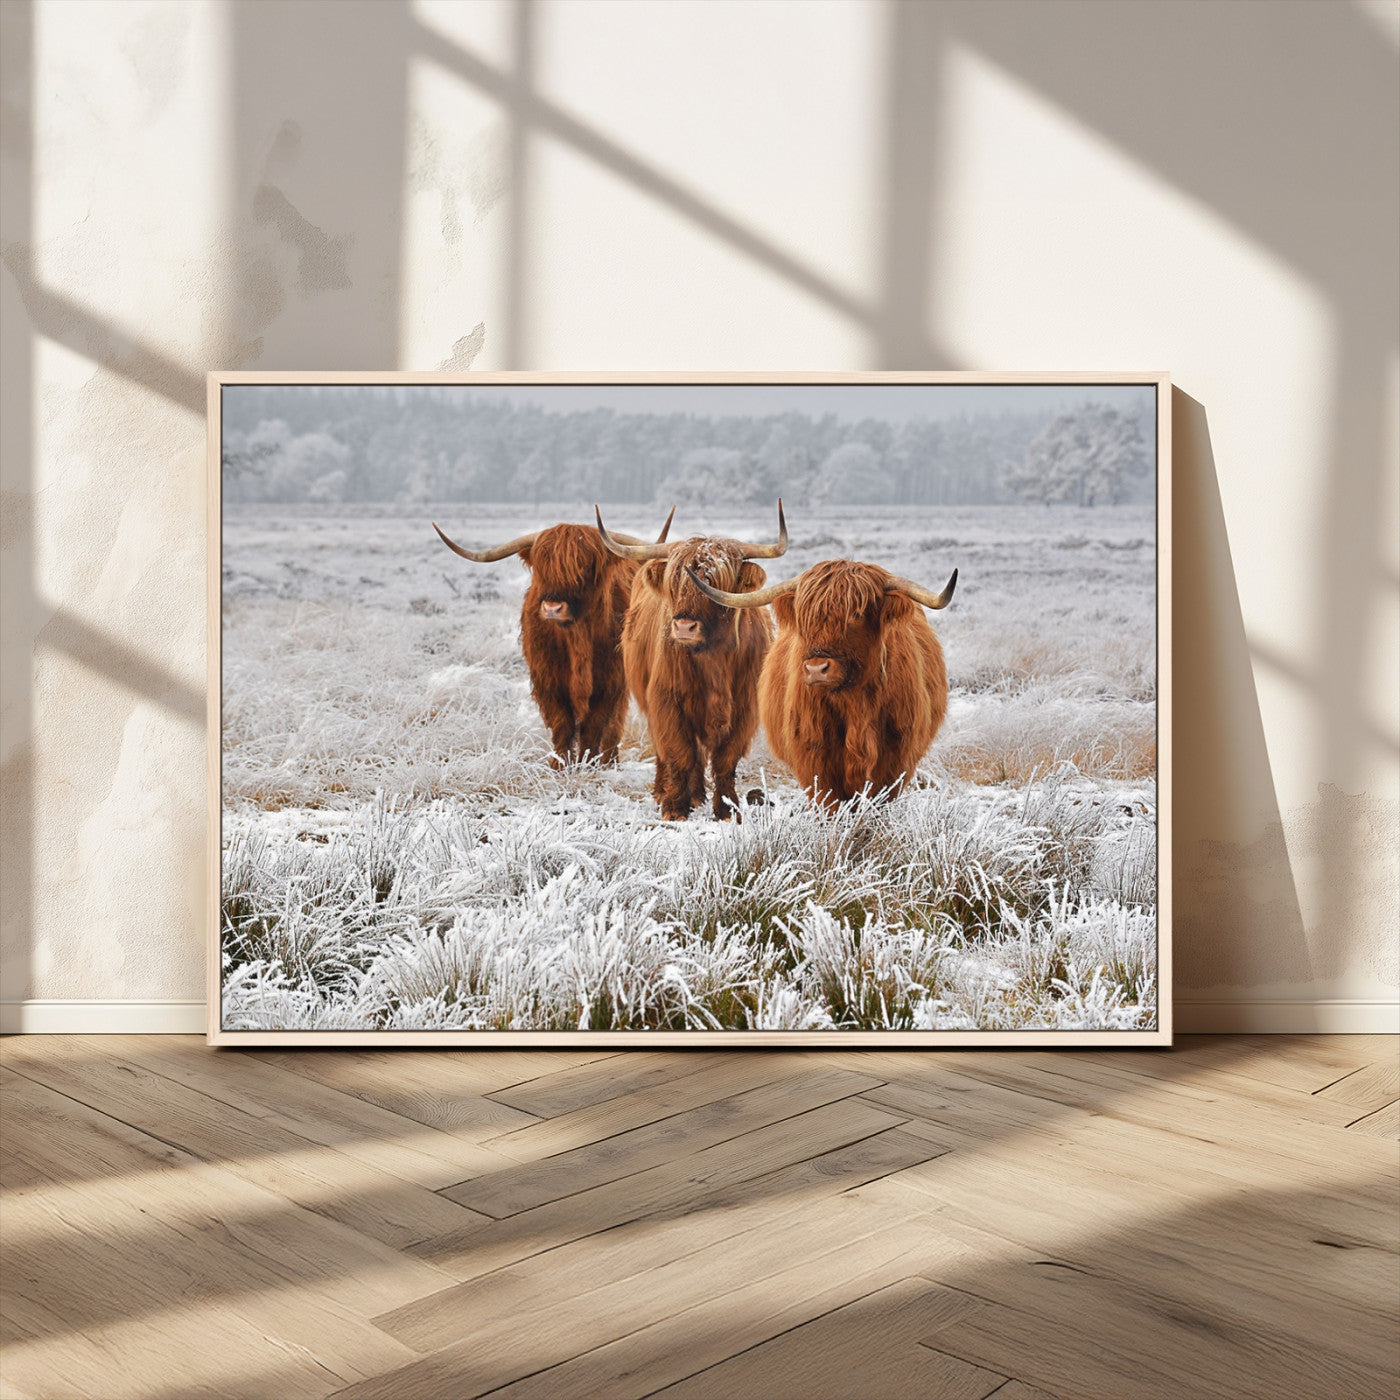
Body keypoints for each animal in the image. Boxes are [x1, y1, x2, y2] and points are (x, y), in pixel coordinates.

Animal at [433, 509, 674, 766]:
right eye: (541, 568)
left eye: (584, 567)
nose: (552, 608)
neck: (577, 638)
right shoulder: (548, 680)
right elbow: (562, 724)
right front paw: (560, 766)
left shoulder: (610, 681)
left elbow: (594, 726)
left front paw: (588, 764)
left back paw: (610, 761)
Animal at [595, 502, 789, 822]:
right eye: (674, 582)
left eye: (715, 582)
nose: (684, 626)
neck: (714, 660)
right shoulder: (667, 701)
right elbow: (679, 753)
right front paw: (674, 808)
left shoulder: (745, 708)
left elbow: (725, 760)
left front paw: (728, 808)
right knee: (671, 752)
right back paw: (666, 792)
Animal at [688, 558, 957, 808]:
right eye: (805, 616)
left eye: (856, 614)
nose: (816, 669)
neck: (855, 705)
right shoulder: (814, 759)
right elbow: (830, 805)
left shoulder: (896, 759)